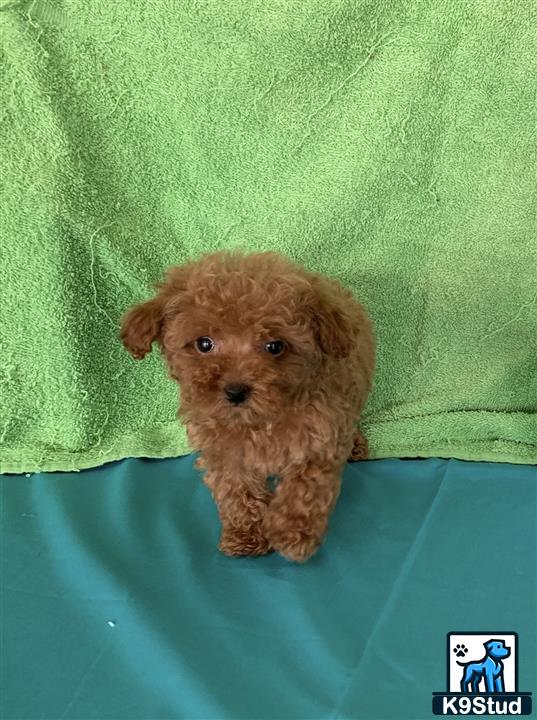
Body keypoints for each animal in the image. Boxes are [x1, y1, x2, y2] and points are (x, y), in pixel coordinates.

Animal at [120, 253, 372, 564]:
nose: (236, 391)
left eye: (275, 346)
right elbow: (237, 489)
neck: (258, 422)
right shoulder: (225, 451)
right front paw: (247, 535)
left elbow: (304, 488)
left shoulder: (320, 435)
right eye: (204, 344)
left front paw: (291, 535)